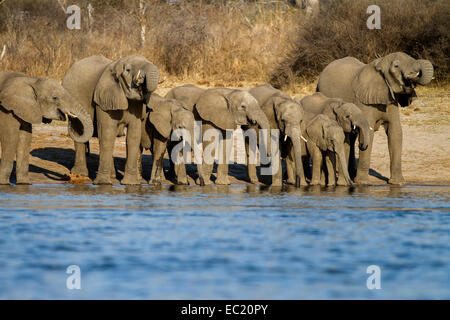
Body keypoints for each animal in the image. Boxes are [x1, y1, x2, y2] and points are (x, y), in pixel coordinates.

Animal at [61, 53, 160, 185]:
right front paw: (103, 184)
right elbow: (107, 133)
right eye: (128, 70)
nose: (141, 80)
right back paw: (80, 174)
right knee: (80, 131)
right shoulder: (103, 99)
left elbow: (133, 136)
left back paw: (112, 176)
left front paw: (131, 184)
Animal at [316, 52, 432, 185]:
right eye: (396, 66)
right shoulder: (364, 101)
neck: (380, 62)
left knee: (352, 137)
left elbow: (395, 132)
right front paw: (363, 183)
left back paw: (352, 173)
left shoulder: (390, 99)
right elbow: (369, 133)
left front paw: (398, 183)